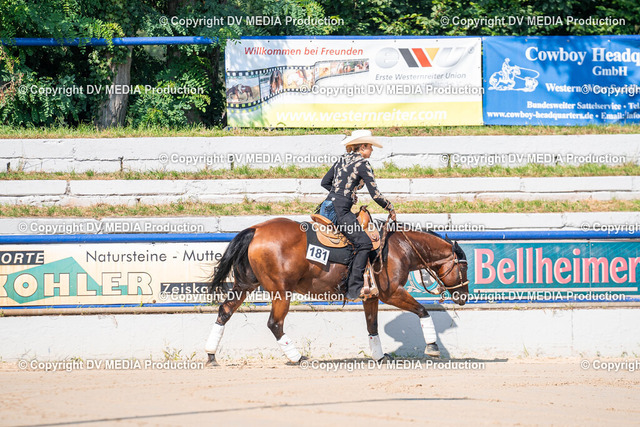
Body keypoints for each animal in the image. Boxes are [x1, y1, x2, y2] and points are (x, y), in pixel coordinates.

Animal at [205, 216, 469, 365]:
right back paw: (297, 357)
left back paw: (210, 355)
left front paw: (379, 356)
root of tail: (256, 230)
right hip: (281, 292)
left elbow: (372, 326)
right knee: (274, 324)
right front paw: (432, 347)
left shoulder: (371, 296)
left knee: (224, 312)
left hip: (245, 285)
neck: (399, 247)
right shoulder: (391, 292)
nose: (464, 296)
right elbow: (423, 311)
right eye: (464, 267)